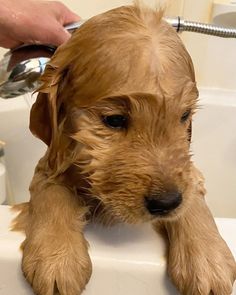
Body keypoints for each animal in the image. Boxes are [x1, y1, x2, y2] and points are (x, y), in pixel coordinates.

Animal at [13, 2, 236, 295]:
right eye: (115, 120)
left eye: (184, 116)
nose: (166, 203)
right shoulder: (50, 162)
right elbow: (52, 194)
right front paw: (56, 256)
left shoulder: (188, 175)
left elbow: (192, 198)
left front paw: (208, 259)